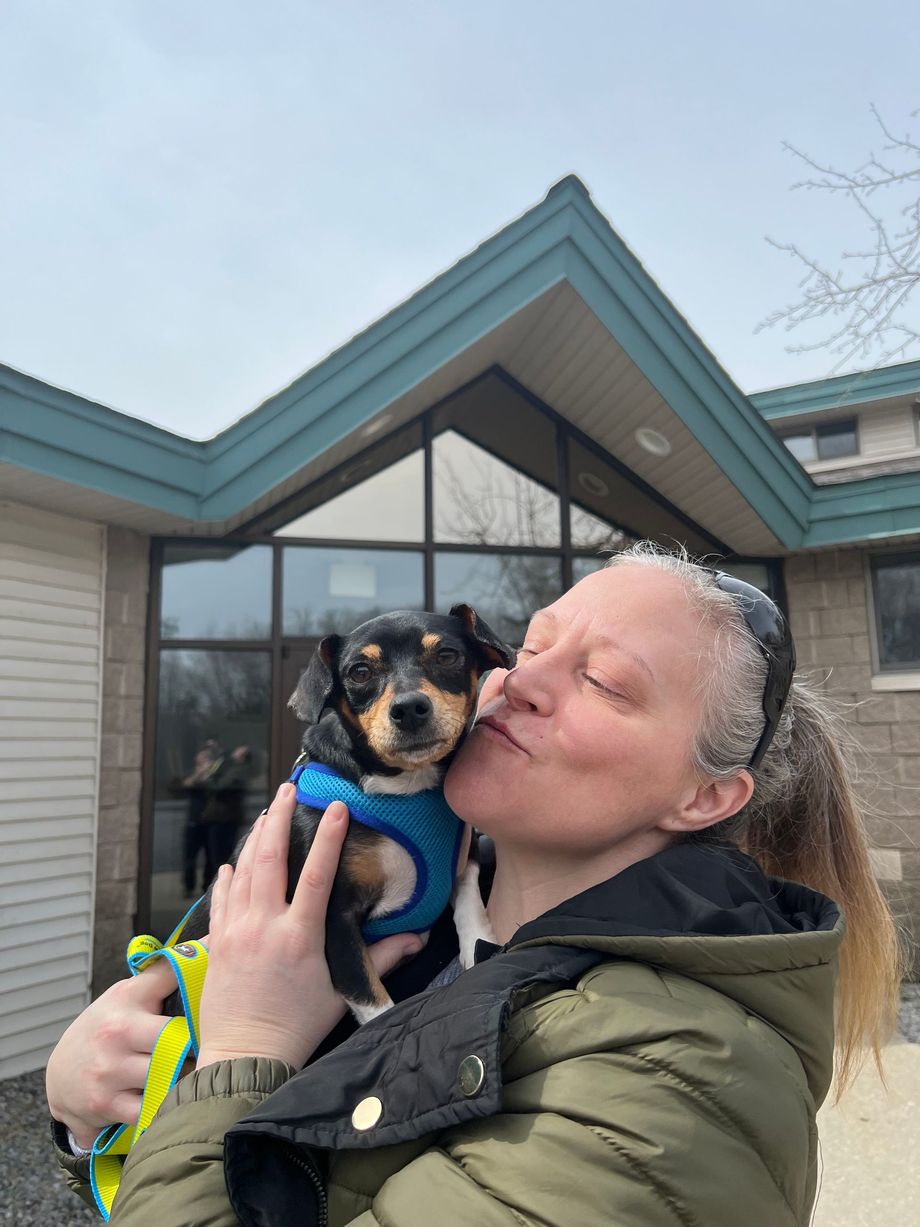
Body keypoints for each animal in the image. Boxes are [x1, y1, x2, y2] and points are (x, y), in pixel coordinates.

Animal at [176, 606, 515, 1025]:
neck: (405, 788)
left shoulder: (464, 854)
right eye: (360, 671)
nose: (408, 708)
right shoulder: (334, 921)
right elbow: (374, 1004)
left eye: (447, 655)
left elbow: (469, 899)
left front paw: (479, 945)